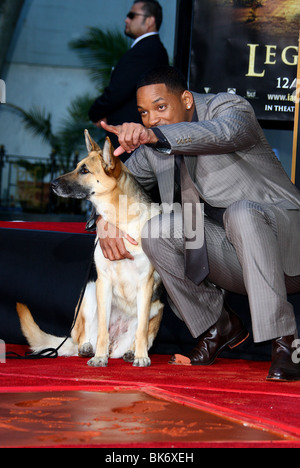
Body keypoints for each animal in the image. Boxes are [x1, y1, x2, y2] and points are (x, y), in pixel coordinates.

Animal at [17, 130, 163, 368]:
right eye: (77, 166)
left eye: (84, 170)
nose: (52, 184)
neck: (120, 222)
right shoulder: (103, 282)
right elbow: (102, 330)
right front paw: (99, 358)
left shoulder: (146, 285)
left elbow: (141, 330)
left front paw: (141, 356)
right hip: (89, 291)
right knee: (85, 337)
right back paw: (89, 348)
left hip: (156, 308)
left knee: (139, 335)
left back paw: (131, 352)